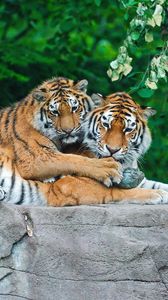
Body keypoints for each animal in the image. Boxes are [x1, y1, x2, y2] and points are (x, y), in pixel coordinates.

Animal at [0, 77, 122, 206]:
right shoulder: (35, 158)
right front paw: (109, 167)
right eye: (55, 112)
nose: (68, 130)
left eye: (74, 108)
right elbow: (72, 160)